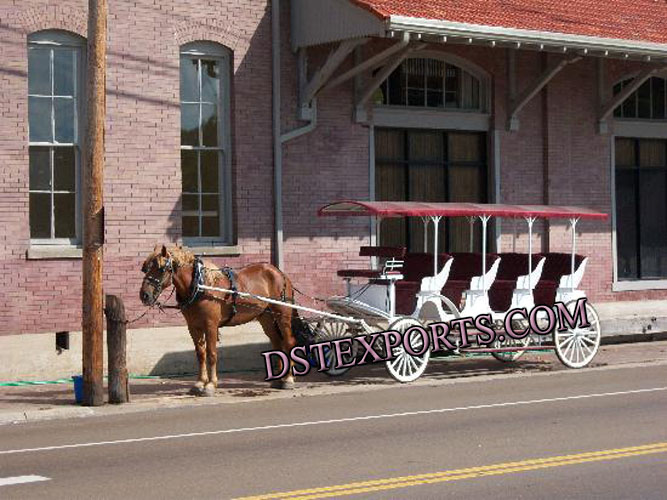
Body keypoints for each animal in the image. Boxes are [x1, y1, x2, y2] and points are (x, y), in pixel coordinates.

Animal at [141, 244, 300, 396]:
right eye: (145, 269)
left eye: (161, 269)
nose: (144, 295)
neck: (200, 285)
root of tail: (280, 273)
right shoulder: (193, 326)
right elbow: (200, 354)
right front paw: (199, 383)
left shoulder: (210, 325)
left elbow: (211, 353)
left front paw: (210, 385)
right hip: (266, 317)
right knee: (277, 343)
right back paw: (278, 379)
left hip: (282, 314)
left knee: (288, 342)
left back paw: (288, 379)